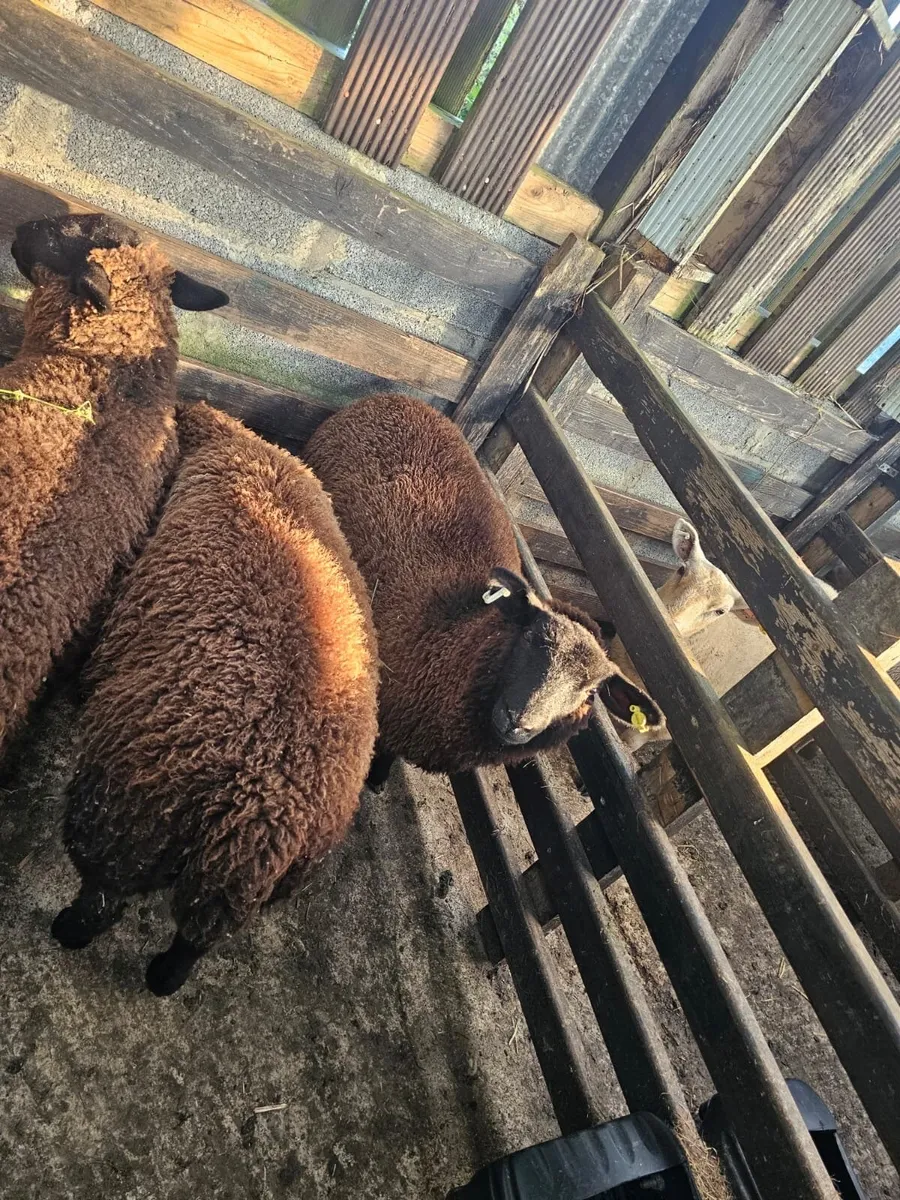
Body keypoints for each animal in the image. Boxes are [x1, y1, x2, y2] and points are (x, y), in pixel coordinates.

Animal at [53, 402, 379, 996]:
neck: (238, 447)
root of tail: (259, 811)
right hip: (235, 887)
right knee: (195, 937)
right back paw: (164, 978)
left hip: (124, 818)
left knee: (102, 897)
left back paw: (67, 932)